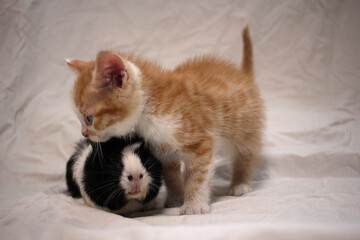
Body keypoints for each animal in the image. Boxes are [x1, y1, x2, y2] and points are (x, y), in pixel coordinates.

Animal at [67, 26, 264, 216]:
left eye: (89, 118)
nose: (84, 133)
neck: (150, 109)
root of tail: (243, 74)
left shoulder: (202, 143)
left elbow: (197, 176)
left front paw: (194, 204)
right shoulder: (162, 151)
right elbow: (171, 175)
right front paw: (176, 199)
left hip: (247, 128)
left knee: (246, 155)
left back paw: (240, 184)